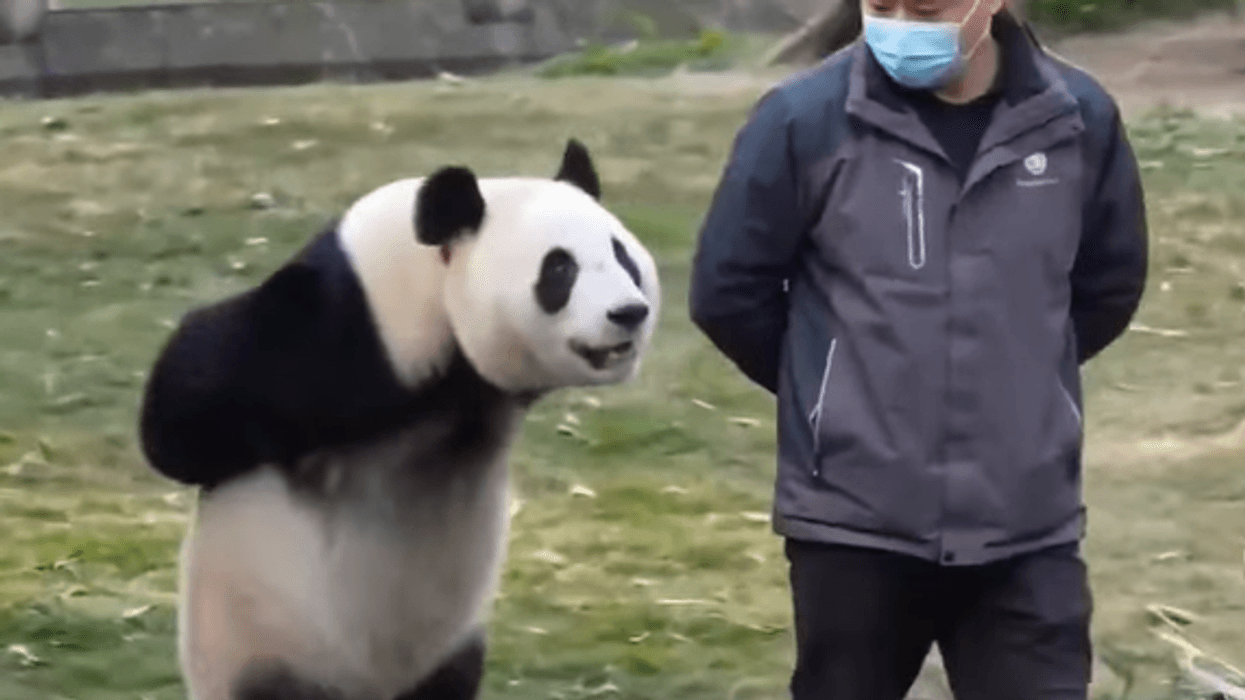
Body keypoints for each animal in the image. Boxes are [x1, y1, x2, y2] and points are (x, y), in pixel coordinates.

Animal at [136, 138, 661, 700]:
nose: (628, 312)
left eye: (622, 255)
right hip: (260, 641)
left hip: (445, 652)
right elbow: (180, 419)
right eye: (560, 270)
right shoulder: (347, 315)